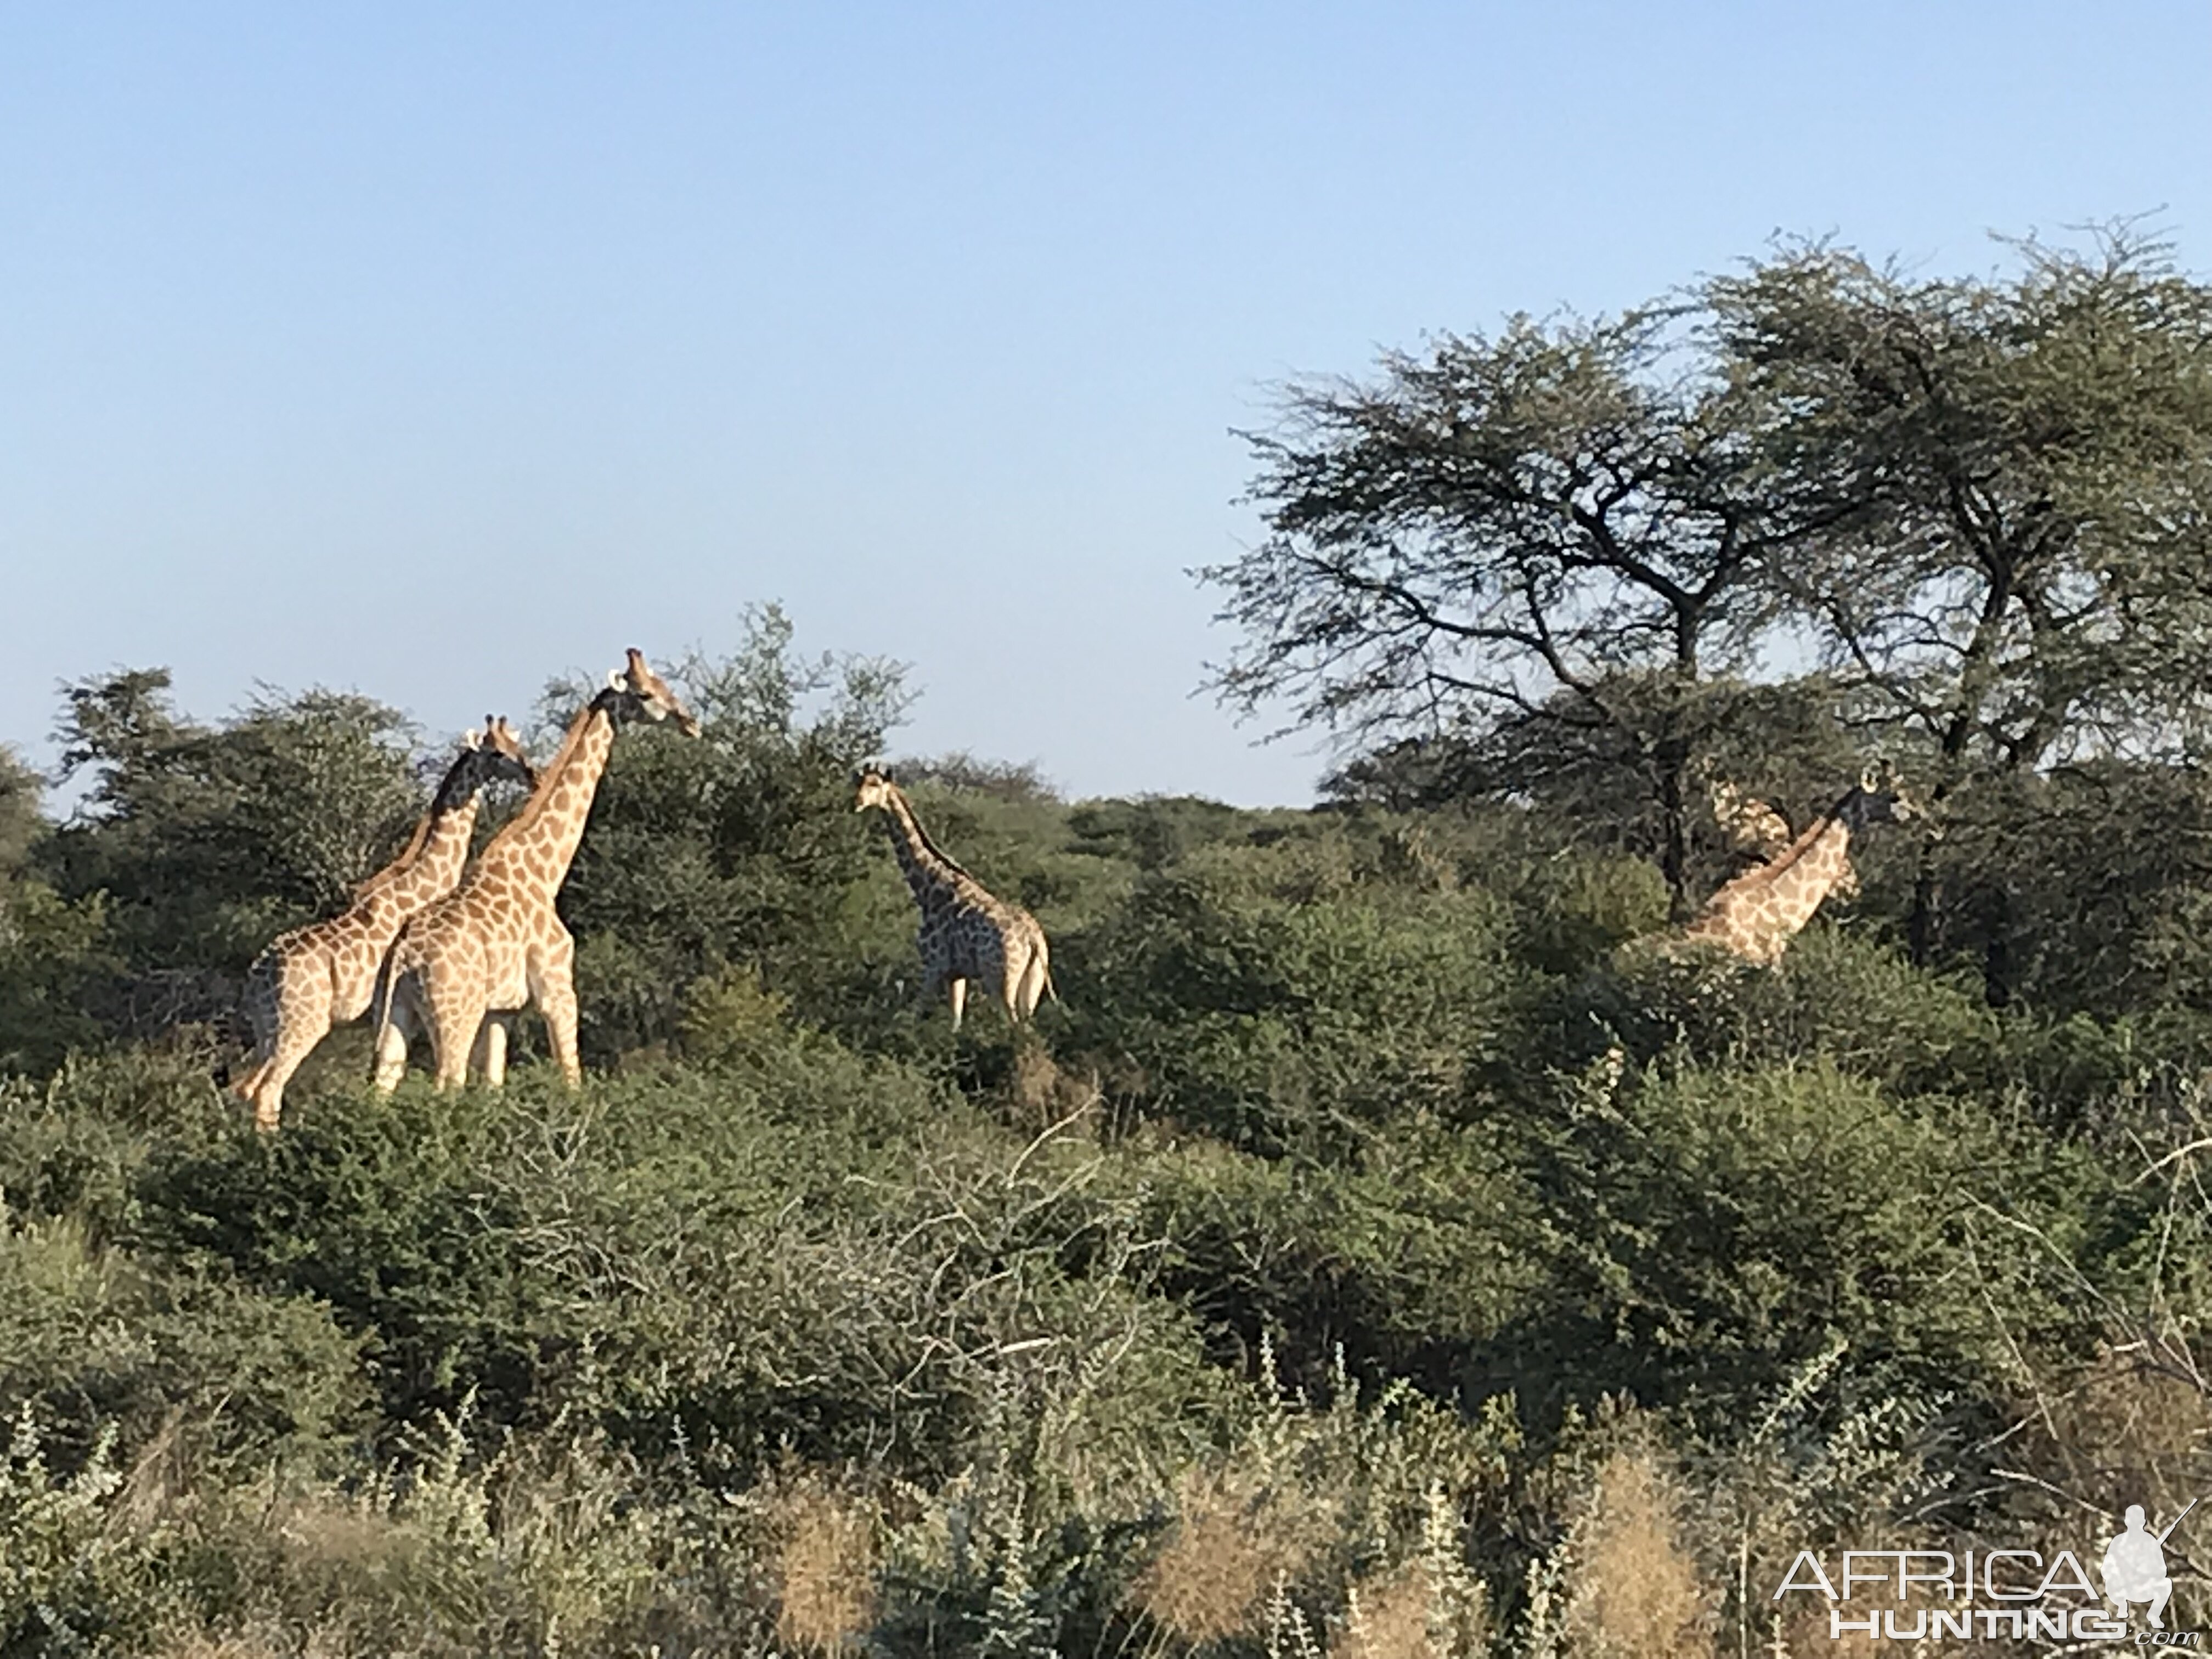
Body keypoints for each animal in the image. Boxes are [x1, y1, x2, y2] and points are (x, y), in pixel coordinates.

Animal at [231, 721, 533, 1141]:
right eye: (496, 753)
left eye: (516, 743)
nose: (531, 773)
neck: (421, 885)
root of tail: (259, 974)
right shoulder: (388, 1002)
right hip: (302, 1024)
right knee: (268, 1089)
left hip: (266, 1027)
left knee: (246, 1087)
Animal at [369, 654, 699, 1097]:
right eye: (645, 693)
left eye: (664, 684)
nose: (690, 721)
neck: (545, 872)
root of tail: (406, 954)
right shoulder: (557, 987)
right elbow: (571, 1073)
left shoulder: (502, 1009)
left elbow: (494, 1081)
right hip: (455, 1012)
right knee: (447, 1079)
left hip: (396, 1012)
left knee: (384, 1082)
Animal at [854, 774, 1053, 1035]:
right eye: (859, 782)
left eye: (875, 785)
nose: (857, 802)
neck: (930, 889)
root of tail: (1032, 937)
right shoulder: (956, 974)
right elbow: (955, 1021)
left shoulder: (933, 964)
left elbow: (915, 1013)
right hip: (1033, 980)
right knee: (1027, 1025)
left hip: (999, 978)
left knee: (1014, 1024)